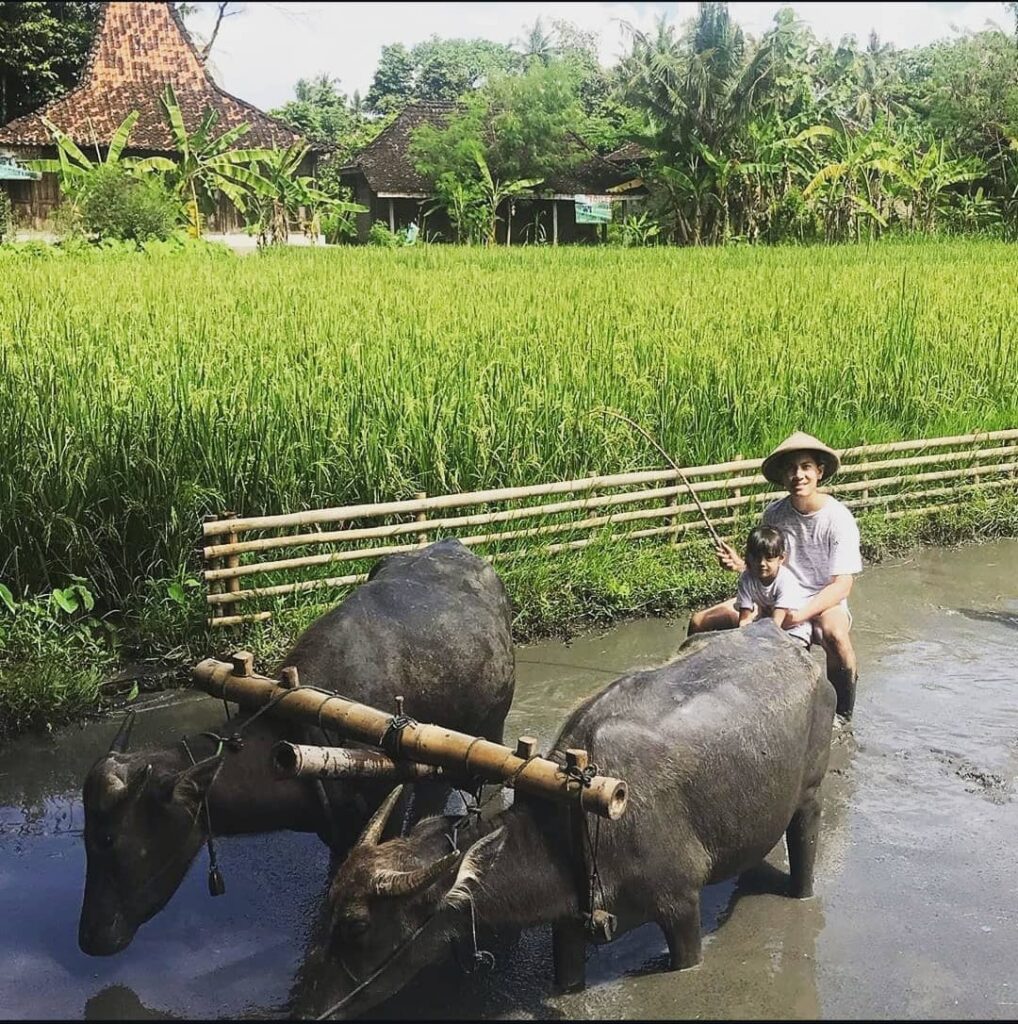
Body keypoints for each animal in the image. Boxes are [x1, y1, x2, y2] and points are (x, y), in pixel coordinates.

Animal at [77, 540, 516, 954]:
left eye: (108, 839)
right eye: (85, 835)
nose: (90, 939)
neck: (309, 729)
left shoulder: (384, 807)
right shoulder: (337, 828)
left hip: (493, 727)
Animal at [292, 618, 831, 1019]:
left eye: (357, 925)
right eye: (329, 907)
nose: (307, 1010)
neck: (579, 825)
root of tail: (796, 646)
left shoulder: (680, 905)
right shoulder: (569, 922)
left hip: (809, 794)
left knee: (804, 843)